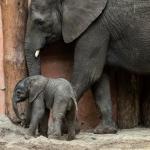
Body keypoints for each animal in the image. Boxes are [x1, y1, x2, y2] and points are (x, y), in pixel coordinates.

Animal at [24, 0, 150, 134]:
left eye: (40, 22)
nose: (24, 124)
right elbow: (99, 78)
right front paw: (104, 130)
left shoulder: (96, 27)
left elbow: (87, 73)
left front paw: (64, 130)